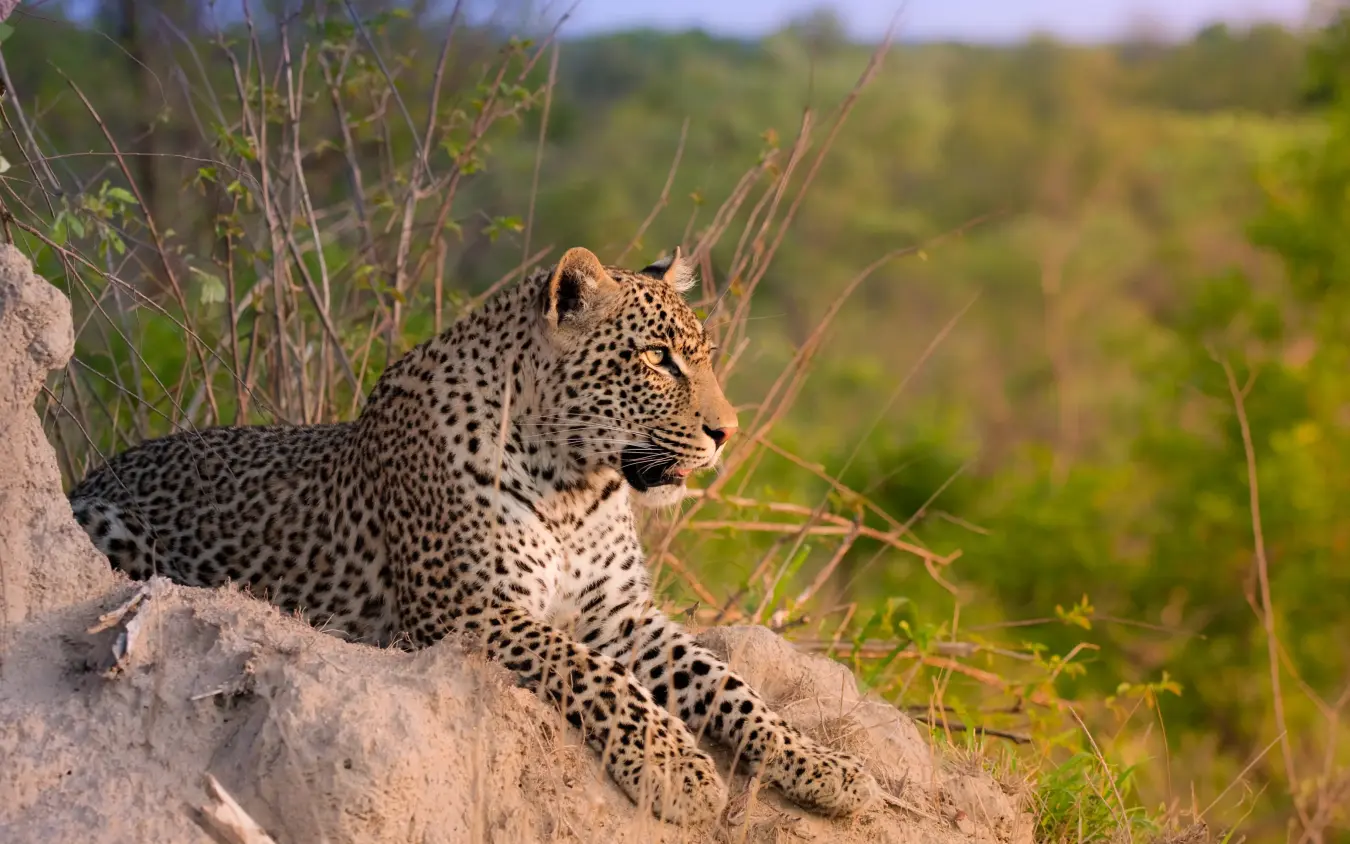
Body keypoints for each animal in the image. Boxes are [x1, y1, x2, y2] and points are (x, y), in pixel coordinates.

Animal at [67, 246, 882, 825]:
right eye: (657, 359)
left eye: (703, 356)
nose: (727, 432)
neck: (574, 486)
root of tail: (94, 469)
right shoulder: (465, 609)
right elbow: (593, 673)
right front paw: (675, 769)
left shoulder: (621, 615)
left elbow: (729, 683)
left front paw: (826, 767)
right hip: (106, 525)